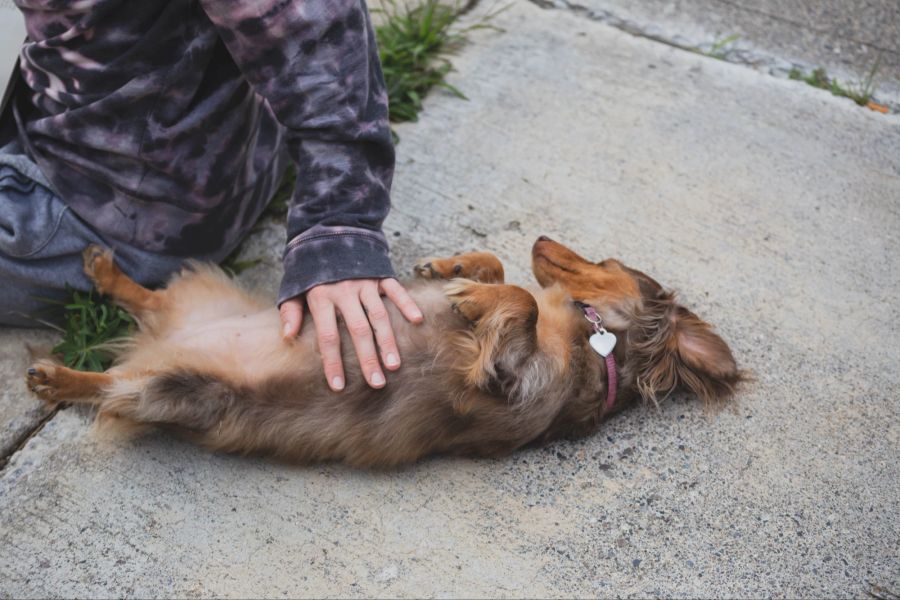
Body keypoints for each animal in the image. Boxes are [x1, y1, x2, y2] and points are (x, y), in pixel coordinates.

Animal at [24, 237, 740, 466]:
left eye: (609, 264)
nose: (541, 237)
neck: (594, 347)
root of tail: (167, 345)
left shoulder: (513, 383)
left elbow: (521, 302)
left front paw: (471, 299)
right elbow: (502, 273)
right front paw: (455, 271)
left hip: (178, 390)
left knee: (111, 384)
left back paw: (55, 378)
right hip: (192, 307)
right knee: (144, 299)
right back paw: (104, 270)